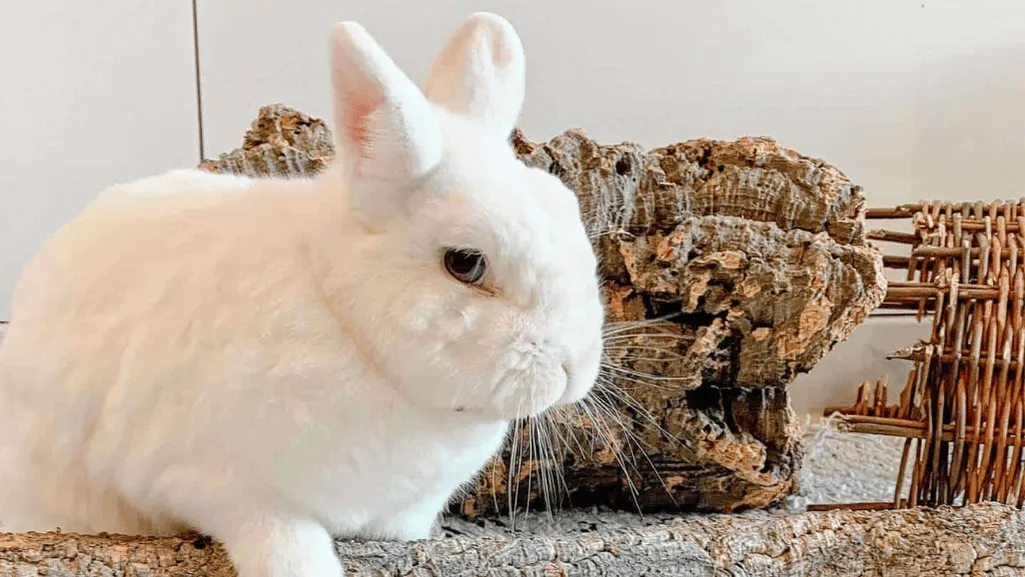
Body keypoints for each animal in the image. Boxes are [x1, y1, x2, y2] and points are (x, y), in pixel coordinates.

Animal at [0, 12, 604, 577]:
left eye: (569, 213)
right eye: (466, 263)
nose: (574, 368)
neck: (345, 323)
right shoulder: (220, 482)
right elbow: (278, 532)